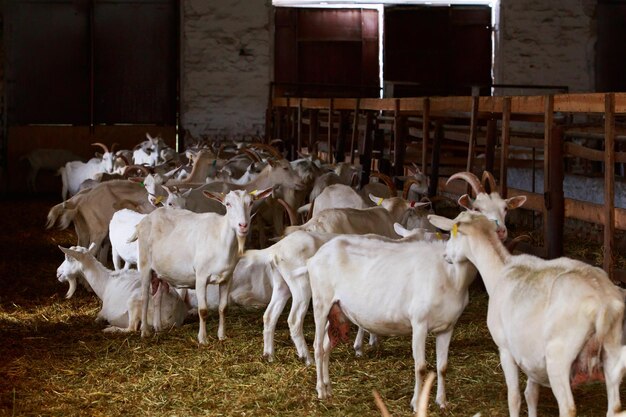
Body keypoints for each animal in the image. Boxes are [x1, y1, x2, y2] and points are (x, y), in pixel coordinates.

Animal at [57, 242, 186, 330]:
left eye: (68, 258)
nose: (58, 273)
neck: (106, 282)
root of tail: (174, 312)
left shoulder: (102, 313)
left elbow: (97, 319)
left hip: (134, 302)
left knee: (132, 328)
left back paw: (111, 329)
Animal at [133, 187, 272, 342]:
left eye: (251, 202)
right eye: (228, 204)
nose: (243, 225)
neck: (220, 238)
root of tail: (146, 219)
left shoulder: (227, 278)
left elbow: (223, 308)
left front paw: (222, 336)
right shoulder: (200, 276)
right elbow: (203, 310)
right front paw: (202, 339)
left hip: (161, 271)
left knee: (157, 296)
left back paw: (158, 327)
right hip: (144, 264)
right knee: (145, 297)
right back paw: (145, 331)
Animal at [304, 224, 476, 410]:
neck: (450, 276)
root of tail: (315, 257)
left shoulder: (447, 327)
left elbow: (443, 367)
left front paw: (442, 402)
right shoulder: (419, 323)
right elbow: (420, 367)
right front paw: (417, 403)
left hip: (337, 310)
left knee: (327, 346)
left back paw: (328, 387)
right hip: (321, 303)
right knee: (318, 347)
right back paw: (321, 390)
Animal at [426, 211, 624, 416]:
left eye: (452, 234)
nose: (445, 255)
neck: (500, 269)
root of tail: (603, 303)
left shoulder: (505, 348)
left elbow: (514, 398)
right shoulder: (530, 353)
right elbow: (531, 394)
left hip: (559, 358)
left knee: (568, 407)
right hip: (613, 352)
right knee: (615, 407)